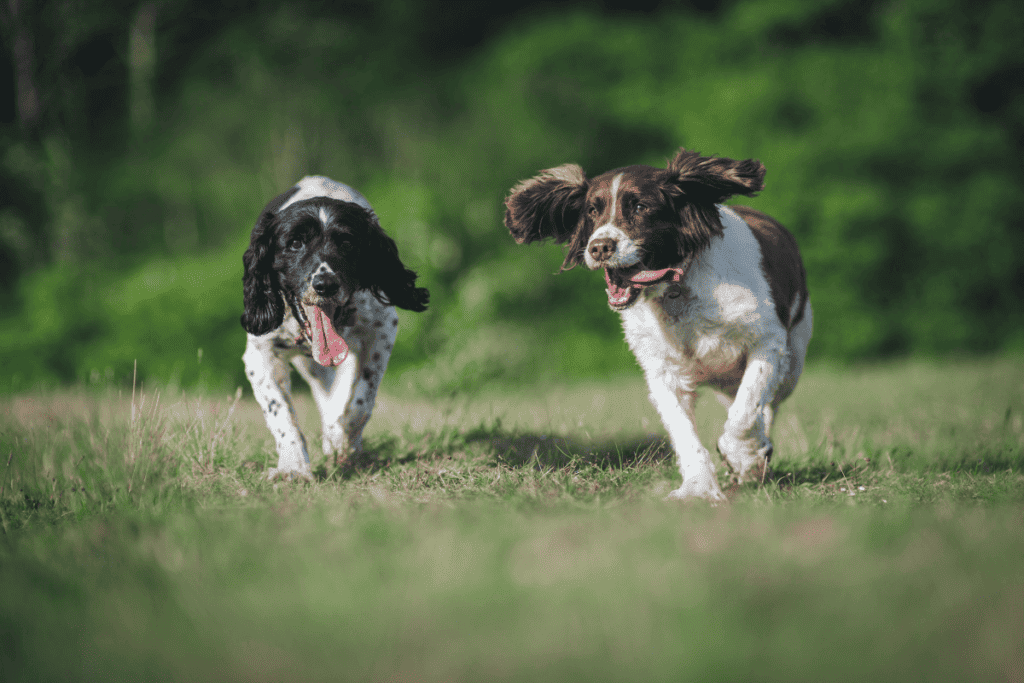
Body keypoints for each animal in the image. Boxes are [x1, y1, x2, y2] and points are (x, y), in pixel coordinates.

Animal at [240, 175, 428, 481]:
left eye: (347, 243)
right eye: (294, 243)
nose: (325, 284)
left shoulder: (382, 330)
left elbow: (362, 399)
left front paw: (342, 440)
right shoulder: (259, 354)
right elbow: (280, 413)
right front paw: (293, 467)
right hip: (310, 365)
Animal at [501, 148, 806, 501]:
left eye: (640, 207)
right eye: (592, 210)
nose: (599, 247)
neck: (677, 289)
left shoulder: (767, 342)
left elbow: (747, 409)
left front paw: (743, 456)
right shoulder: (662, 371)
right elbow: (684, 432)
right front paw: (698, 489)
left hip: (793, 363)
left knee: (767, 404)